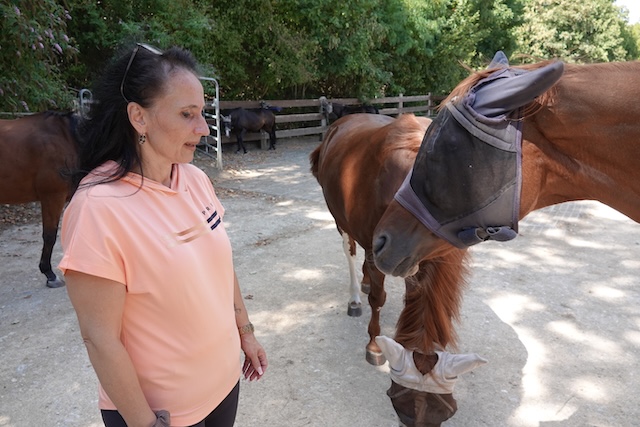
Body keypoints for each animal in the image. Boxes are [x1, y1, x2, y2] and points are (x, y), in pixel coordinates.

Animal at [310, 113, 486, 426]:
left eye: (445, 414)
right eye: (400, 410)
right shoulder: (379, 247)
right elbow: (378, 299)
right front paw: (374, 344)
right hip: (340, 219)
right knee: (349, 250)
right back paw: (355, 297)